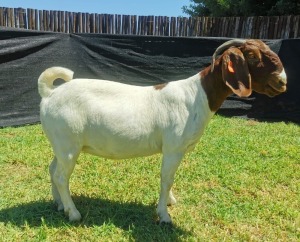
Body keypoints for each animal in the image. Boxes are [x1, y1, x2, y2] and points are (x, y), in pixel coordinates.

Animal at [38, 39, 288, 223]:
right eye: (252, 56)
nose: (282, 81)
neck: (197, 95)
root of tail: (49, 94)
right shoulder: (173, 148)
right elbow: (166, 178)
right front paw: (164, 215)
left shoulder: (177, 150)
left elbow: (170, 178)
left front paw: (169, 201)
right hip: (68, 144)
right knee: (61, 176)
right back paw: (73, 213)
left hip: (61, 143)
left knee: (53, 170)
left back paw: (59, 204)